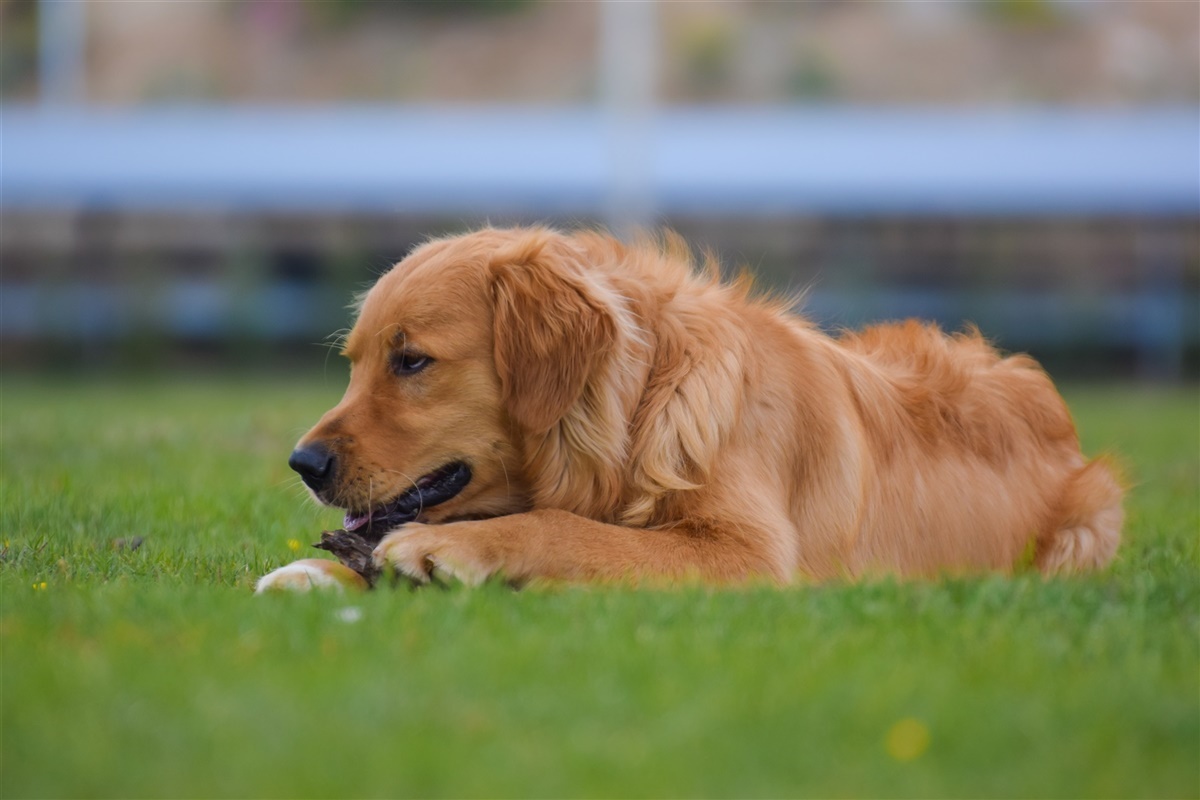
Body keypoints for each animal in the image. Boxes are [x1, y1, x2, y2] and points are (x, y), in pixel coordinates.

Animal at [255, 227, 1123, 592]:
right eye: (355, 363)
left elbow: (567, 529)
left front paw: (452, 552)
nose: (303, 463)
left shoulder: (751, 555)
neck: (637, 416)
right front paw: (312, 570)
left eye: (412, 362)